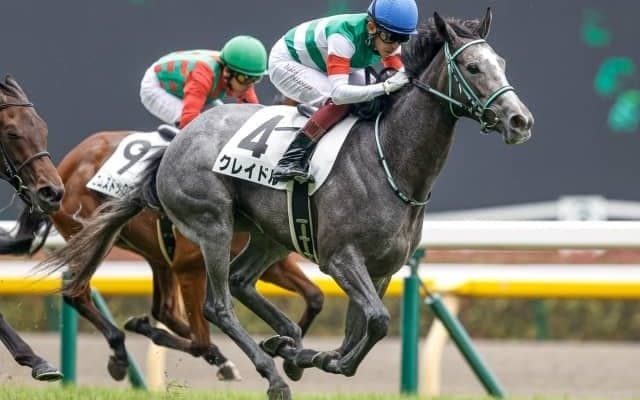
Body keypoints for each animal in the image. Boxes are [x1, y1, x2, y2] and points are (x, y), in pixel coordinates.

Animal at [7, 129, 325, 382]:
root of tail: (65, 163)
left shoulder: (272, 264)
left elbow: (315, 297)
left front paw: (291, 351)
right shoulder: (189, 267)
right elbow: (200, 338)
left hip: (156, 256)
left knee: (164, 310)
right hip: (92, 237)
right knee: (78, 294)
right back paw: (120, 350)